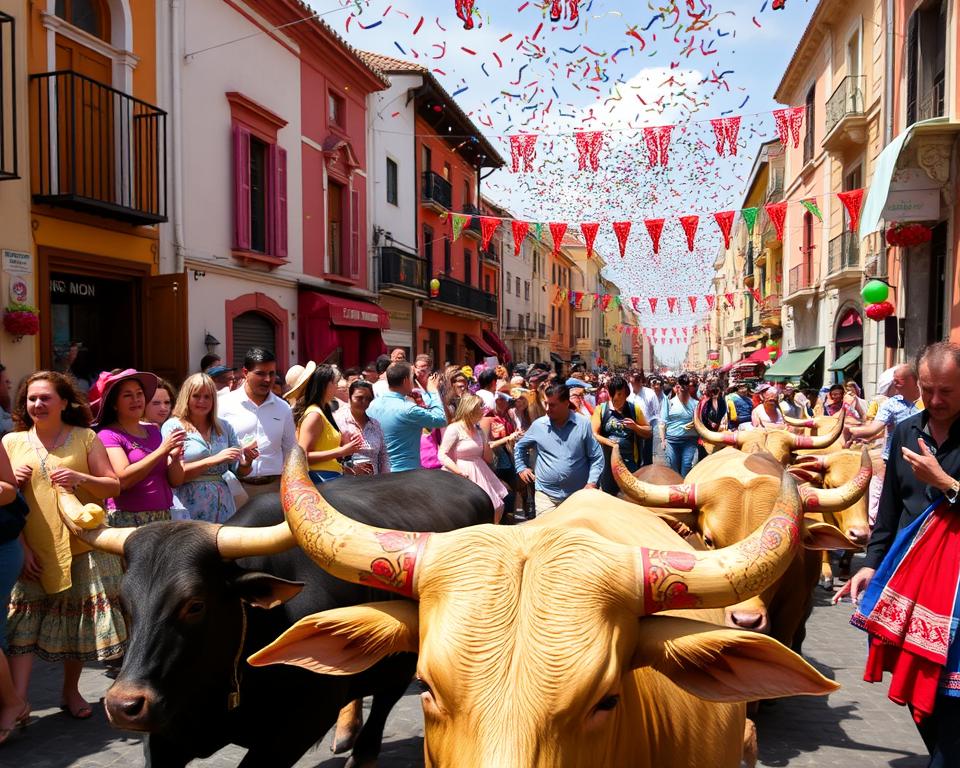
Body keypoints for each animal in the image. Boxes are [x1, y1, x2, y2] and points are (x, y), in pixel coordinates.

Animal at [78, 472, 492, 764]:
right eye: (124, 601)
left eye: (195, 604)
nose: (123, 705)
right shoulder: (165, 735)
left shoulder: (293, 732)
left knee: (383, 707)